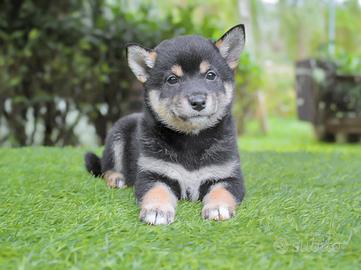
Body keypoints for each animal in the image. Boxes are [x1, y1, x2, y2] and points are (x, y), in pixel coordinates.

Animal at [86, 25, 246, 225]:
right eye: (172, 79)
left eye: (211, 75)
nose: (198, 101)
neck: (192, 141)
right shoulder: (152, 174)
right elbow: (158, 191)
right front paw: (157, 210)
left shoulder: (229, 176)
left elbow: (221, 191)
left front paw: (218, 207)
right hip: (118, 133)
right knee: (106, 168)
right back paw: (116, 178)